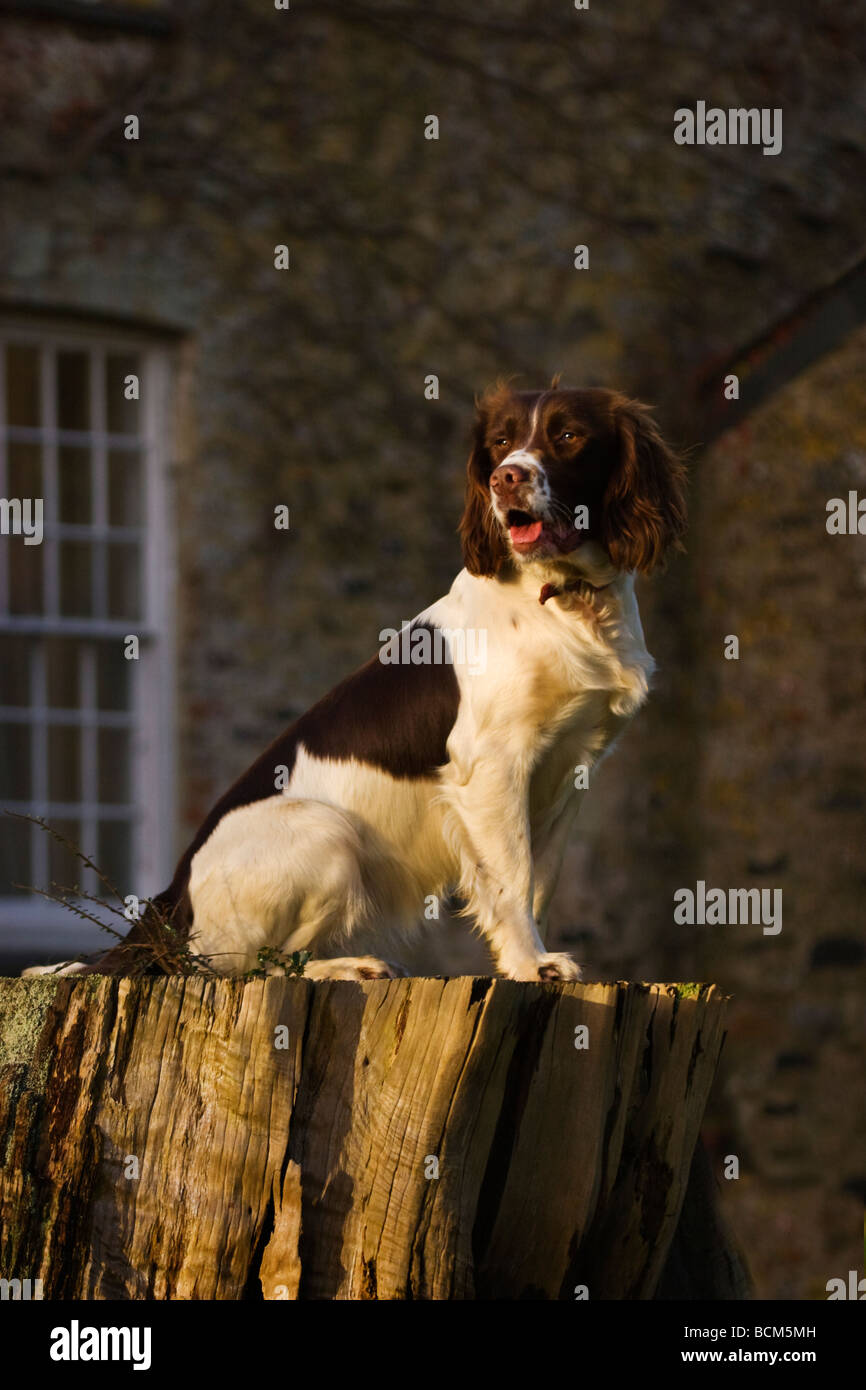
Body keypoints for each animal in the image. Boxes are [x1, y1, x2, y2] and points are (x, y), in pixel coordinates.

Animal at [25, 386, 683, 984]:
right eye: (500, 442)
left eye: (568, 435)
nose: (506, 478)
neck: (561, 600)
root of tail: (172, 897)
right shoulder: (493, 766)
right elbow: (510, 881)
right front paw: (529, 964)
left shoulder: (569, 772)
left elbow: (537, 881)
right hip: (329, 834)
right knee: (243, 967)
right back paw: (348, 967)